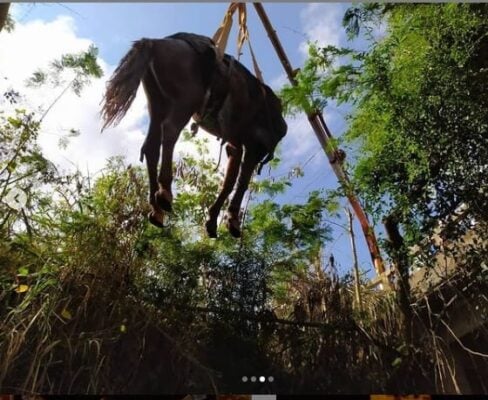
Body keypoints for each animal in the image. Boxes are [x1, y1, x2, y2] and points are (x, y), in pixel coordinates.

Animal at [101, 32, 288, 238]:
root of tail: (155, 42)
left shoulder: (236, 143)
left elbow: (230, 180)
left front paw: (213, 220)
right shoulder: (256, 147)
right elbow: (242, 181)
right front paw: (232, 219)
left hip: (157, 104)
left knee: (151, 147)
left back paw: (156, 208)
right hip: (186, 102)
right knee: (170, 131)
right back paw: (165, 193)